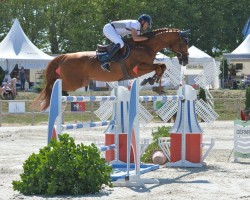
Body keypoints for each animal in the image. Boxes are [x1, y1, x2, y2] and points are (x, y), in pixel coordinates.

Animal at [33, 27, 189, 110]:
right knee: (53, 86)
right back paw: (59, 95)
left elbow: (162, 66)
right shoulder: (137, 68)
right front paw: (150, 80)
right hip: (74, 82)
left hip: (81, 81)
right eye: (183, 43)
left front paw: (153, 80)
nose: (186, 60)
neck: (145, 46)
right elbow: (159, 66)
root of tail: (64, 56)